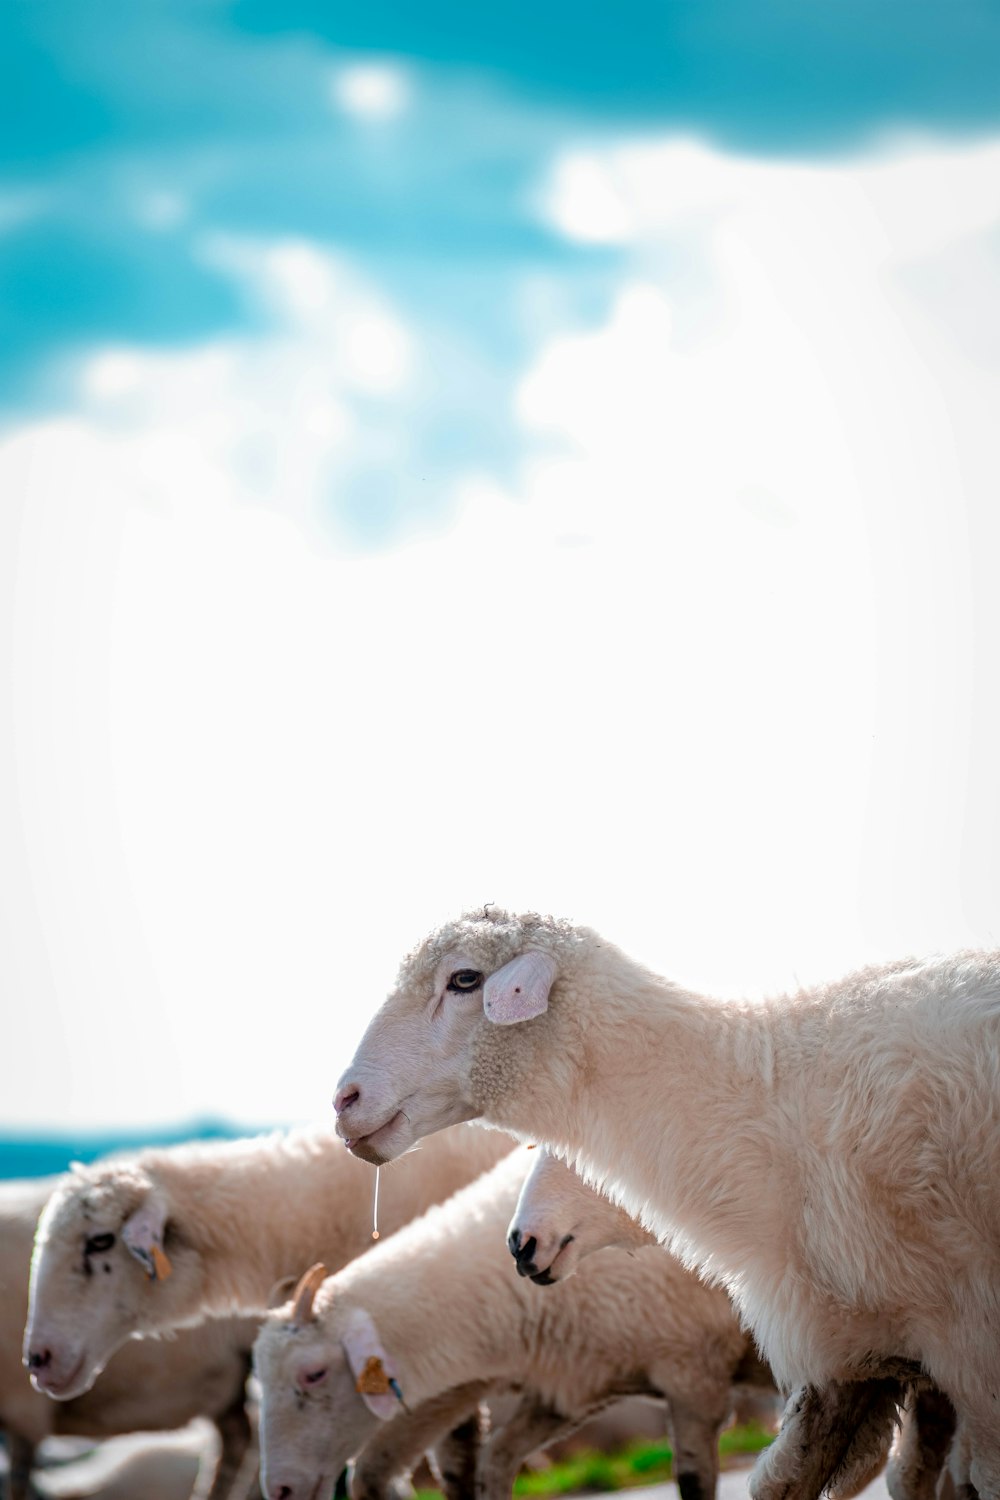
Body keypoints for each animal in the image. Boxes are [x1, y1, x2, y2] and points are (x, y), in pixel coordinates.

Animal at [251, 1140, 779, 1500]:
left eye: (313, 1374)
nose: (279, 1490)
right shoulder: (568, 1388)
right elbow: (493, 1463)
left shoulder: (693, 1378)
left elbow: (692, 1480)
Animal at [332, 906, 1000, 1500]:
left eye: (464, 980)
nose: (344, 1100)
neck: (764, 1108)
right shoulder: (847, 1351)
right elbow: (790, 1481)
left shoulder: (965, 1340)